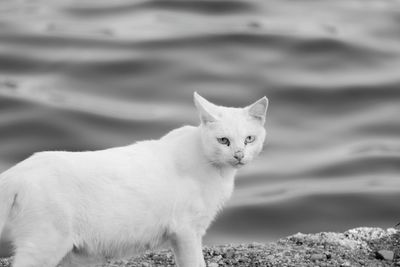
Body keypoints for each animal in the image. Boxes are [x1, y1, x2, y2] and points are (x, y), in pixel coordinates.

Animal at [0, 92, 268, 267]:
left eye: (249, 139)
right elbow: (194, 263)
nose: (239, 154)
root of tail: (18, 172)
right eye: (223, 140)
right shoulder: (186, 230)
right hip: (44, 244)